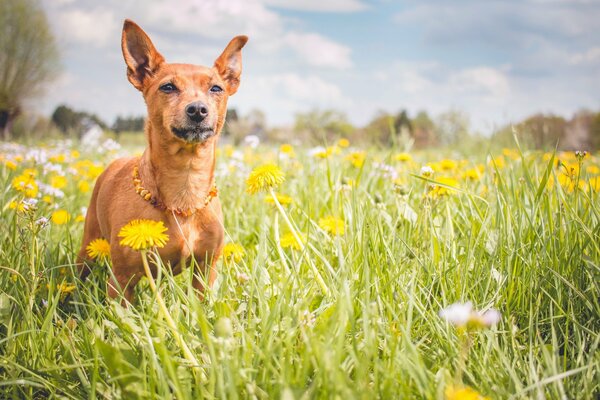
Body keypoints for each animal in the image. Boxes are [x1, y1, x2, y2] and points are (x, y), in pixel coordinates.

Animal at [78, 18, 247, 300]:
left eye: (216, 88)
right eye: (168, 86)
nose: (198, 109)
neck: (186, 183)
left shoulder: (205, 271)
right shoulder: (121, 280)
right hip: (88, 246)